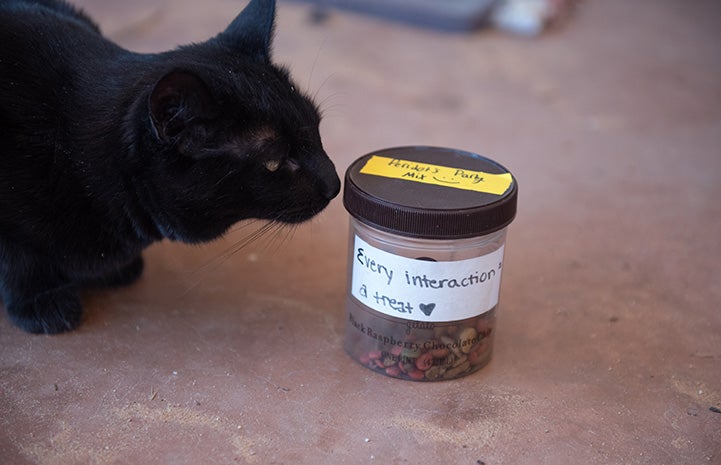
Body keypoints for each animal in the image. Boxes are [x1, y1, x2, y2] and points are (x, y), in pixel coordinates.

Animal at [0, 0, 340, 334]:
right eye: (273, 162)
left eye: (316, 128)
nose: (335, 184)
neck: (69, 152)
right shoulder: (13, 236)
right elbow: (19, 262)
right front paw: (41, 303)